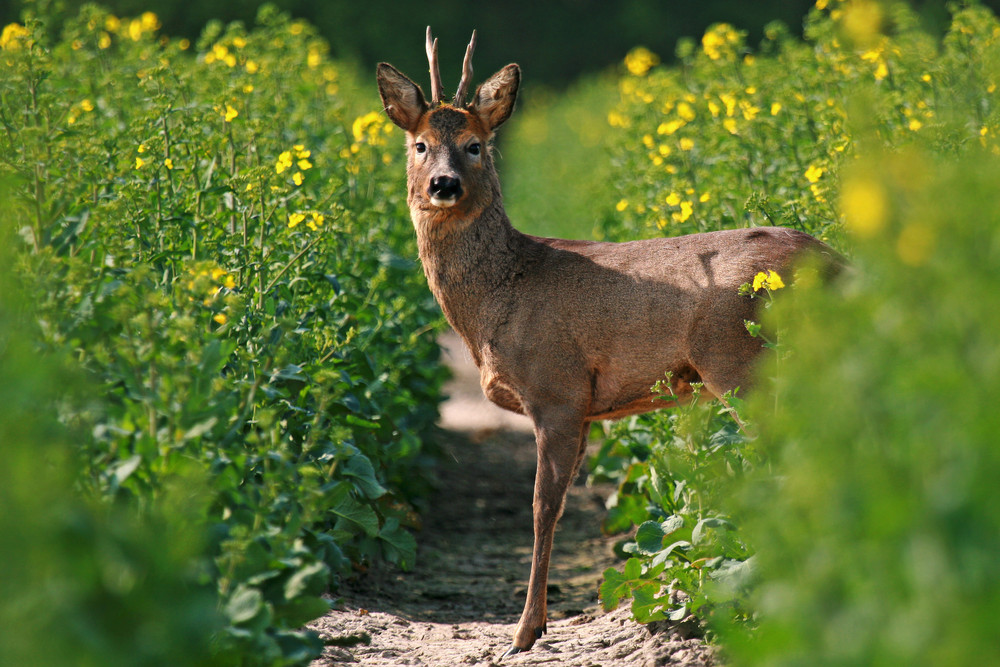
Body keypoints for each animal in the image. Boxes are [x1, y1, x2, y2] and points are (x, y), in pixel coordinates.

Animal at [378, 27, 840, 656]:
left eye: (475, 145)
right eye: (420, 144)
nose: (442, 185)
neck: (501, 295)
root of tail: (837, 262)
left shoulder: (557, 388)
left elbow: (542, 507)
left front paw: (525, 631)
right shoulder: (586, 406)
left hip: (743, 362)